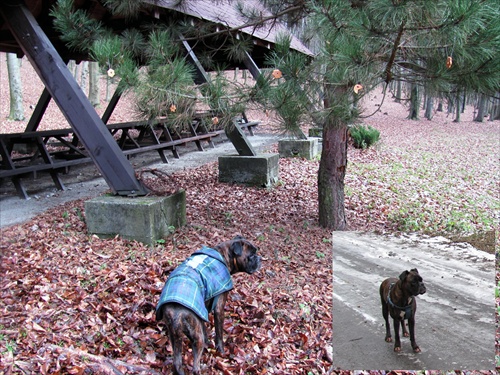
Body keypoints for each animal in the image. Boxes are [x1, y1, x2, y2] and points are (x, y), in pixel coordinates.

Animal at [155, 236, 262, 374]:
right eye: (252, 255)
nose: (260, 258)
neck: (223, 255)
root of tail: (176, 313)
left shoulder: (202, 308)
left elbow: (204, 325)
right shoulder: (219, 308)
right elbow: (219, 334)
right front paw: (221, 351)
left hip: (175, 336)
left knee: (177, 363)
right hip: (196, 337)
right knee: (195, 366)